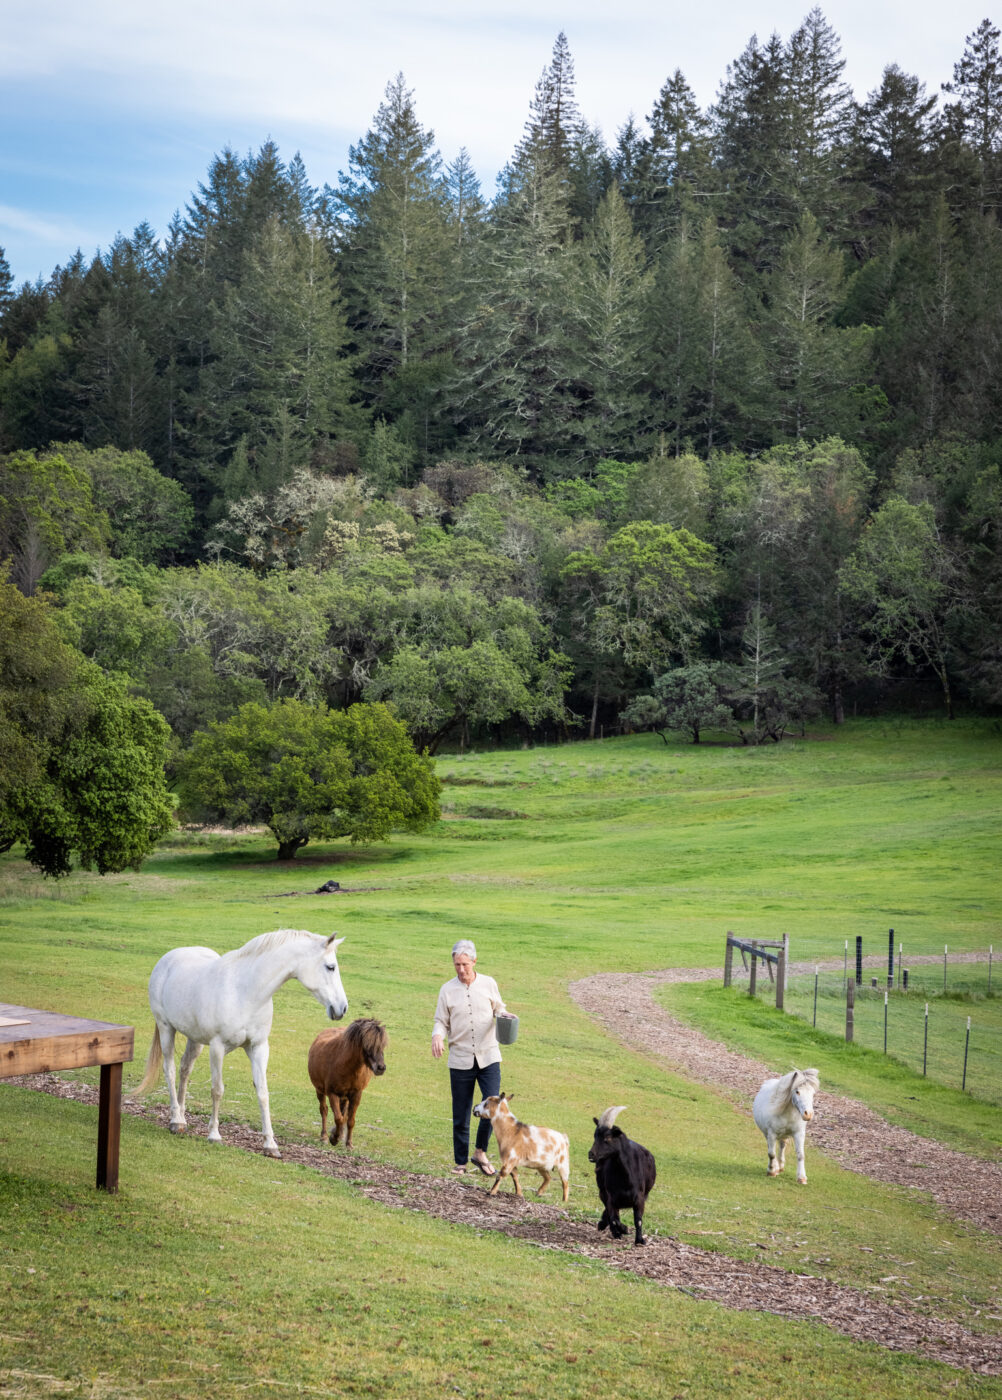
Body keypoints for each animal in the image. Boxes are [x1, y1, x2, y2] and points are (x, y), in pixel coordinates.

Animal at [137, 929, 348, 1159]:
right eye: (330, 967)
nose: (342, 1008)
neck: (246, 991)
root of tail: (168, 958)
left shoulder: (258, 1047)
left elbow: (263, 1094)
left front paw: (270, 1144)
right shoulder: (217, 1047)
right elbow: (217, 1090)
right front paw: (214, 1134)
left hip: (195, 1039)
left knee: (185, 1070)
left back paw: (182, 1119)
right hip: (166, 1029)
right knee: (171, 1069)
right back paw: (175, 1120)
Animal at [305, 1019, 386, 1148]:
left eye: (382, 1045)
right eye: (367, 1044)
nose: (381, 1068)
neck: (346, 1066)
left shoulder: (356, 1094)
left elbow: (350, 1120)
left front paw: (348, 1144)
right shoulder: (332, 1093)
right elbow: (338, 1118)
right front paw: (334, 1138)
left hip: (345, 1097)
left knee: (344, 1114)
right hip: (320, 1090)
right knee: (324, 1110)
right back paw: (324, 1136)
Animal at [587, 1103, 657, 1248]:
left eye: (607, 1138)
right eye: (595, 1136)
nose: (591, 1154)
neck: (624, 1179)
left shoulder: (640, 1198)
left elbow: (638, 1220)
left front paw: (640, 1240)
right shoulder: (611, 1196)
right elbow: (614, 1218)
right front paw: (622, 1230)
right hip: (602, 1190)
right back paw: (608, 1227)